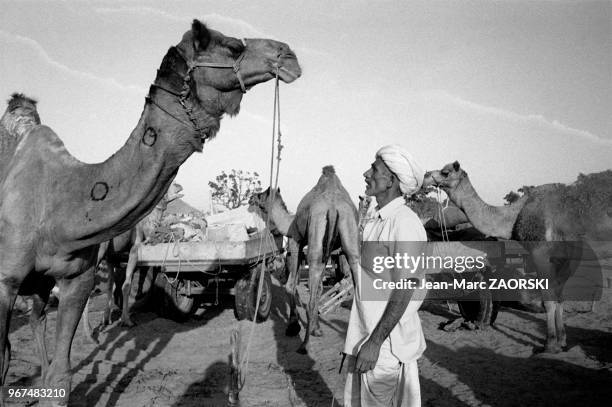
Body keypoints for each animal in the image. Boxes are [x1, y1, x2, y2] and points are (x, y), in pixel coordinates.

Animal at [0, 19, 302, 404]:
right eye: (233, 46)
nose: (288, 54)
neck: (60, 205)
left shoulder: (76, 281)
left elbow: (62, 377)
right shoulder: (4, 282)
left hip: (41, 285)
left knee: (37, 318)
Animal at [251, 166, 360, 354]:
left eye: (261, 194)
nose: (251, 197)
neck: (288, 223)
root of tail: (333, 208)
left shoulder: (295, 241)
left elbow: (291, 285)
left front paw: (293, 326)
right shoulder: (327, 250)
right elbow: (318, 289)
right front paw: (317, 328)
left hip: (316, 231)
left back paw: (304, 345)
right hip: (348, 232)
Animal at [426, 163, 612, 354]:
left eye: (445, 172)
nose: (425, 176)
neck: (515, 217)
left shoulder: (541, 252)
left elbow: (549, 300)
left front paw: (549, 345)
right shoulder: (563, 257)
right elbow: (559, 298)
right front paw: (562, 342)